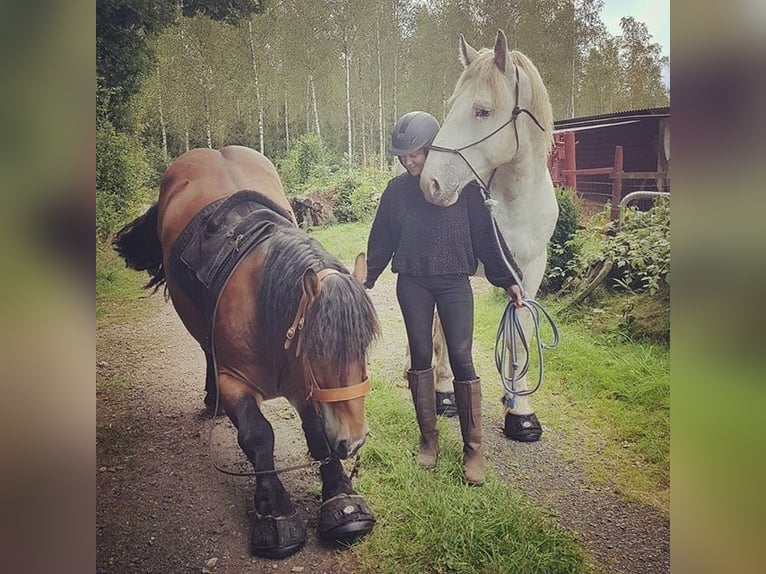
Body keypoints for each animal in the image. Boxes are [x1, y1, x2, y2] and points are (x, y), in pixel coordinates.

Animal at [113, 146, 380, 560]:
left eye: (363, 346)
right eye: (317, 349)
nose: (353, 441)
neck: (264, 311)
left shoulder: (305, 387)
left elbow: (317, 432)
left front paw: (342, 501)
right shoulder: (237, 382)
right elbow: (258, 436)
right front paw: (275, 513)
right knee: (207, 352)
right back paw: (212, 400)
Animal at [420, 30, 560, 446]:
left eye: (482, 111)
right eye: (451, 106)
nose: (431, 184)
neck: (512, 204)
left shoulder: (529, 273)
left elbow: (520, 334)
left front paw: (520, 409)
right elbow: (451, 332)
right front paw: (447, 392)